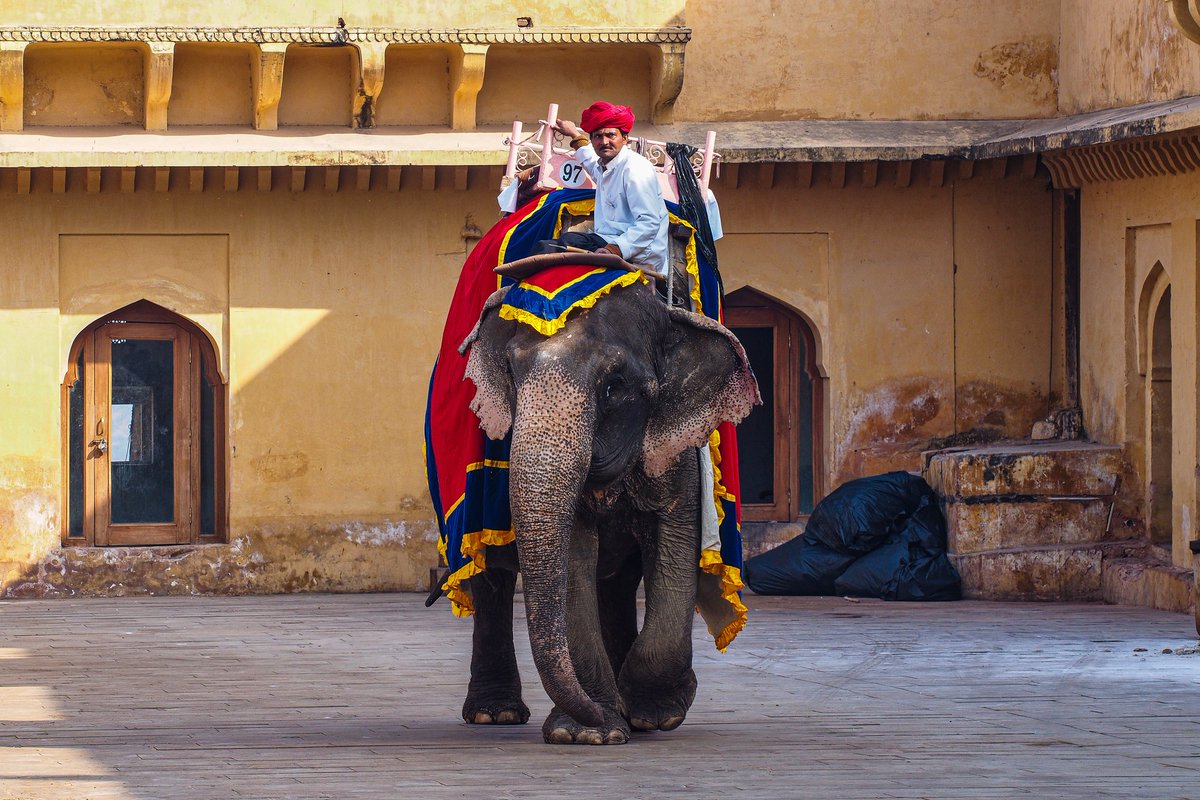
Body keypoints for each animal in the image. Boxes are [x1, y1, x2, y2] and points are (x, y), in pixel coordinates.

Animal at [456, 274, 759, 744]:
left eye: (614, 387)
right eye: (511, 376)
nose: (594, 713)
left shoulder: (676, 450)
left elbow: (675, 540)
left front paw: (654, 714)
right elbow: (575, 556)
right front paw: (586, 732)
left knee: (617, 584)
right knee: (493, 577)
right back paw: (497, 714)